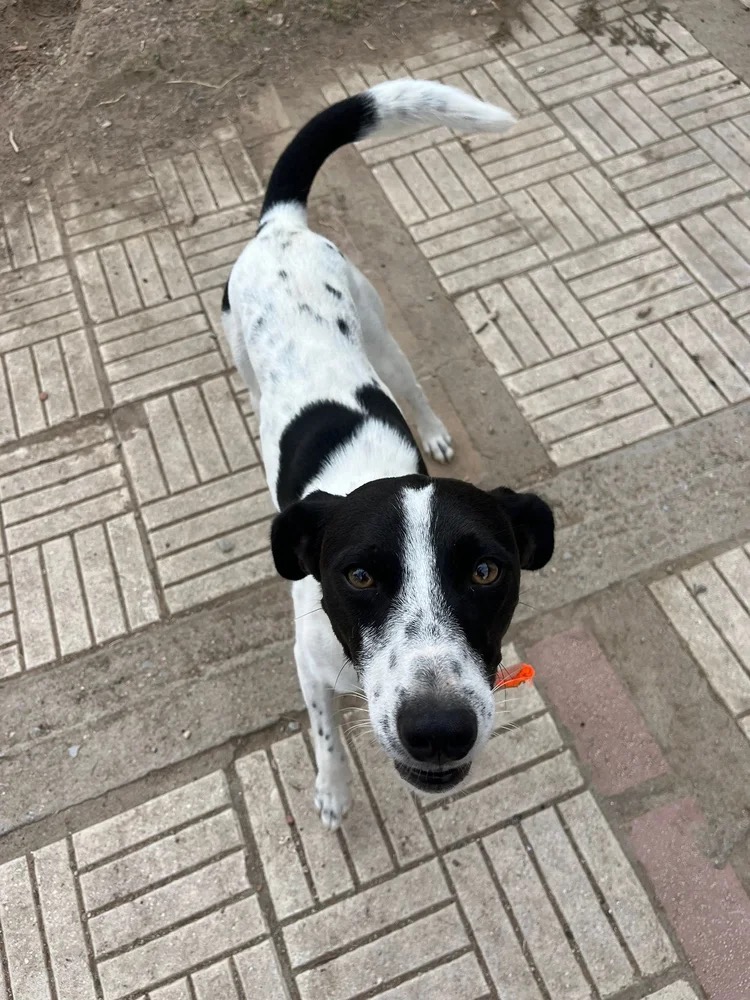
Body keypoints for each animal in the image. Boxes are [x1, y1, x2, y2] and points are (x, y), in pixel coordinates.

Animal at [222, 79, 555, 830]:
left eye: (487, 571)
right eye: (359, 576)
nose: (438, 730)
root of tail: (280, 227)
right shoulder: (308, 663)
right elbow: (325, 733)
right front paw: (332, 790)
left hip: (379, 332)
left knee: (413, 387)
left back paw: (431, 430)